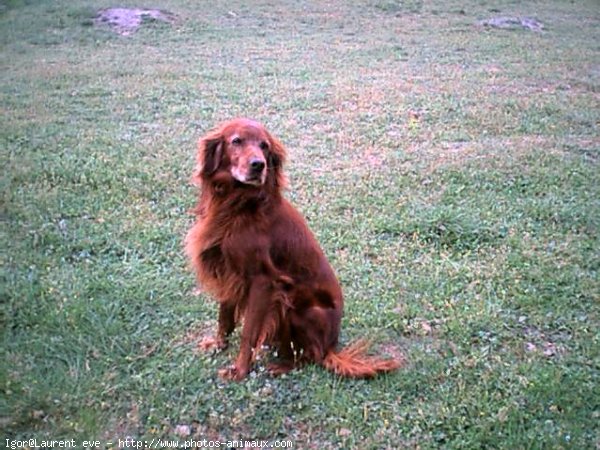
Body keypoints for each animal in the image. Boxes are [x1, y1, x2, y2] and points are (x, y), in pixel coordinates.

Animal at [183, 118, 398, 378]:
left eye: (264, 146)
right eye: (236, 141)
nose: (258, 165)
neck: (238, 204)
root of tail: (331, 347)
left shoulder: (263, 281)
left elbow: (248, 332)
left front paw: (240, 370)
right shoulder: (227, 271)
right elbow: (224, 316)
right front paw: (218, 345)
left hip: (296, 305)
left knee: (310, 356)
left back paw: (280, 366)